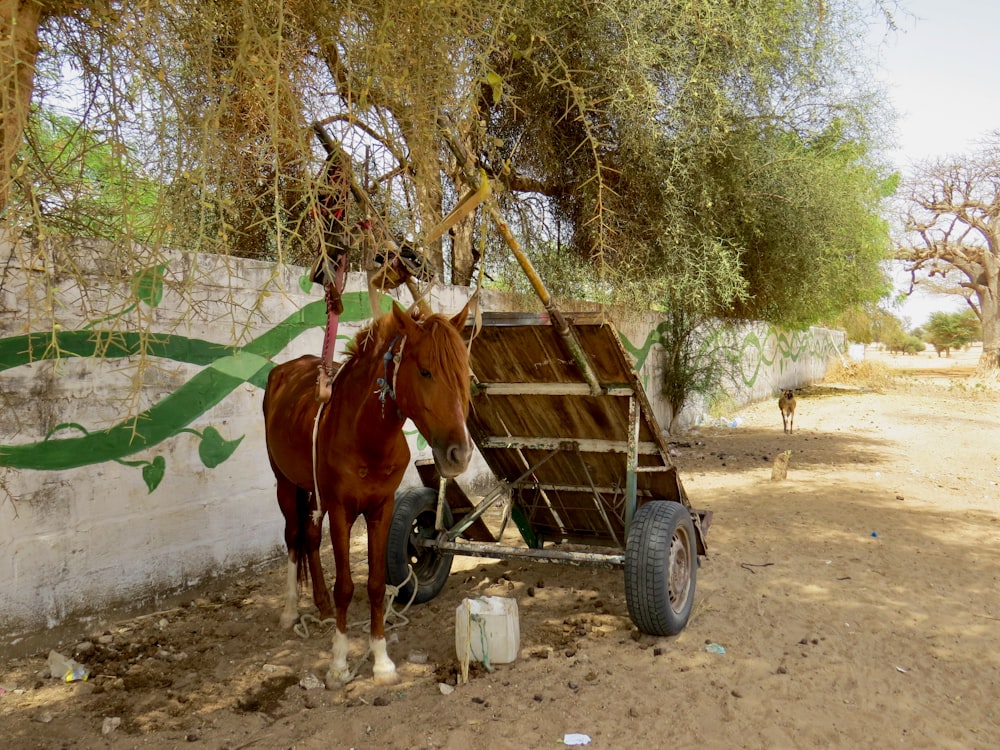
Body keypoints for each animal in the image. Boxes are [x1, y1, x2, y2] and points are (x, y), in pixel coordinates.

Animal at [262, 302, 472, 684]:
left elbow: (375, 584)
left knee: (310, 537)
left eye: (465, 371)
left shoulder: (381, 509)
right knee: (294, 536)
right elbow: (345, 586)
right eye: (425, 371)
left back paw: (322, 606)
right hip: (286, 483)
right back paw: (290, 610)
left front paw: (382, 660)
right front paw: (339, 662)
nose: (459, 454)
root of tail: (285, 369)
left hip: (314, 492)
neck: (366, 435)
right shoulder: (342, 511)